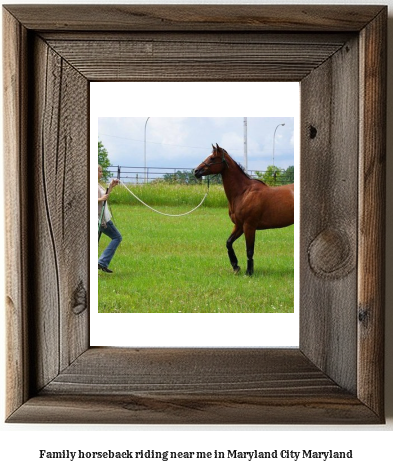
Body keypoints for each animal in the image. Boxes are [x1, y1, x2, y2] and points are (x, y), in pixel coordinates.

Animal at [194, 143, 292, 274]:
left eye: (212, 158)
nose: (196, 171)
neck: (243, 192)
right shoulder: (239, 225)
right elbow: (229, 243)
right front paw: (236, 266)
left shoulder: (249, 226)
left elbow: (249, 250)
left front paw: (249, 272)